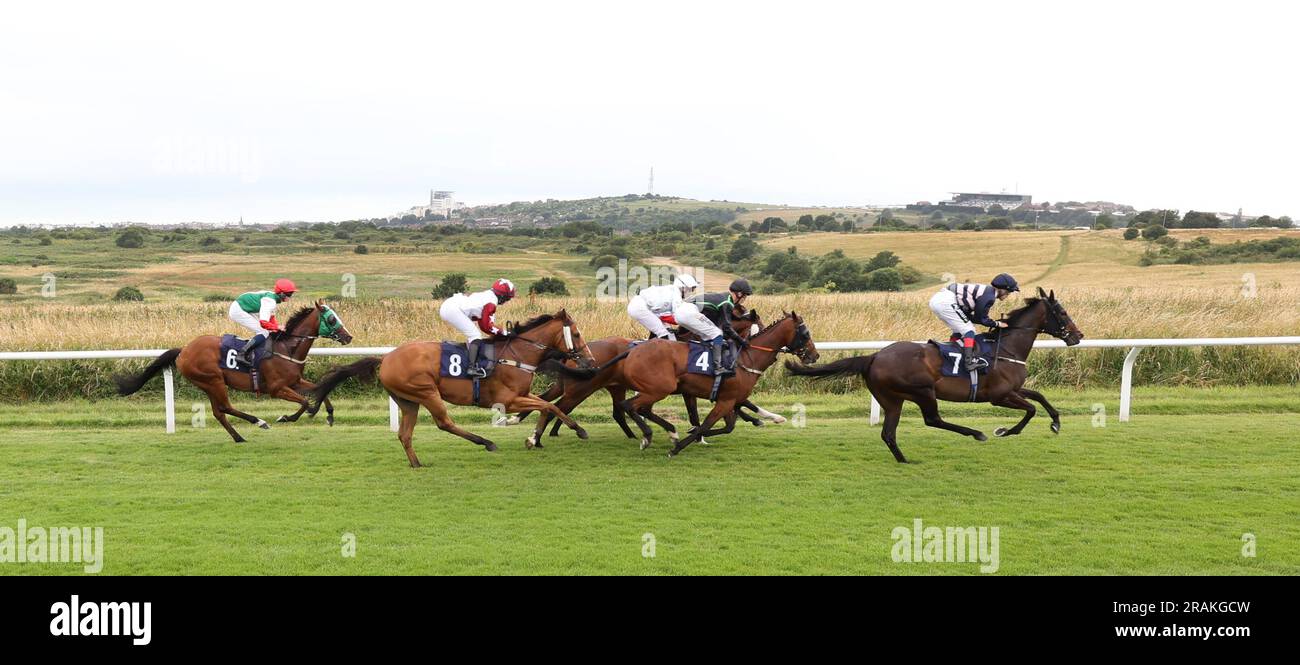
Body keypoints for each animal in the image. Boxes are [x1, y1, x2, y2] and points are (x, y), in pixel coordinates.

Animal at [112, 301, 353, 441]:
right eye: (332, 318)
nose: (348, 336)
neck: (287, 348)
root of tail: (184, 350)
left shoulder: (295, 381)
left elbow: (321, 389)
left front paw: (329, 415)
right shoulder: (277, 389)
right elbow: (303, 402)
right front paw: (287, 417)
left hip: (208, 384)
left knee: (219, 412)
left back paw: (238, 437)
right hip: (214, 380)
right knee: (225, 407)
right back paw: (258, 422)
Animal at [309, 307, 598, 467]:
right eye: (577, 334)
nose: (592, 362)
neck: (518, 354)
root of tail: (386, 358)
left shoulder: (523, 395)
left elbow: (546, 406)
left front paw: (533, 438)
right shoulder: (508, 400)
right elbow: (549, 405)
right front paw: (578, 430)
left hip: (408, 401)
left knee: (405, 434)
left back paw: (416, 463)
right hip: (426, 392)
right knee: (444, 423)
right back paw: (486, 442)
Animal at [585, 311, 816, 457]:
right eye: (806, 334)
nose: (815, 355)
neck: (745, 359)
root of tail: (632, 350)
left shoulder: (728, 398)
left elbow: (727, 425)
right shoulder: (725, 400)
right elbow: (706, 425)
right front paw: (679, 447)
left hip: (650, 389)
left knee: (637, 408)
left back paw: (664, 432)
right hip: (659, 388)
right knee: (629, 406)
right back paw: (648, 436)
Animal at [785, 288, 1081, 464]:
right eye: (1062, 312)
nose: (1078, 336)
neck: (1007, 348)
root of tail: (874, 356)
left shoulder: (1013, 390)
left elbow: (1039, 397)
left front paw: (1056, 423)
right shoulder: (999, 396)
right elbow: (1030, 409)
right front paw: (1005, 430)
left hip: (892, 399)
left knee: (888, 433)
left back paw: (903, 459)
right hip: (923, 391)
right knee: (932, 419)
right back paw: (975, 433)